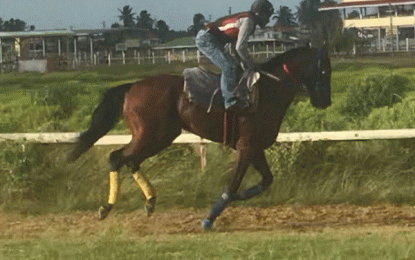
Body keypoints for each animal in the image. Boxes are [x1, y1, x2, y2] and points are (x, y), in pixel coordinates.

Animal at [69, 44, 334, 230]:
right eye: (324, 70)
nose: (325, 102)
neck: (268, 91)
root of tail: (132, 87)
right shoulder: (246, 146)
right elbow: (234, 183)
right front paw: (210, 218)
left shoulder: (256, 147)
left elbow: (266, 180)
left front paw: (239, 197)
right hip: (152, 135)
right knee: (117, 157)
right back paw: (107, 207)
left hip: (159, 136)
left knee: (130, 159)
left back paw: (150, 201)